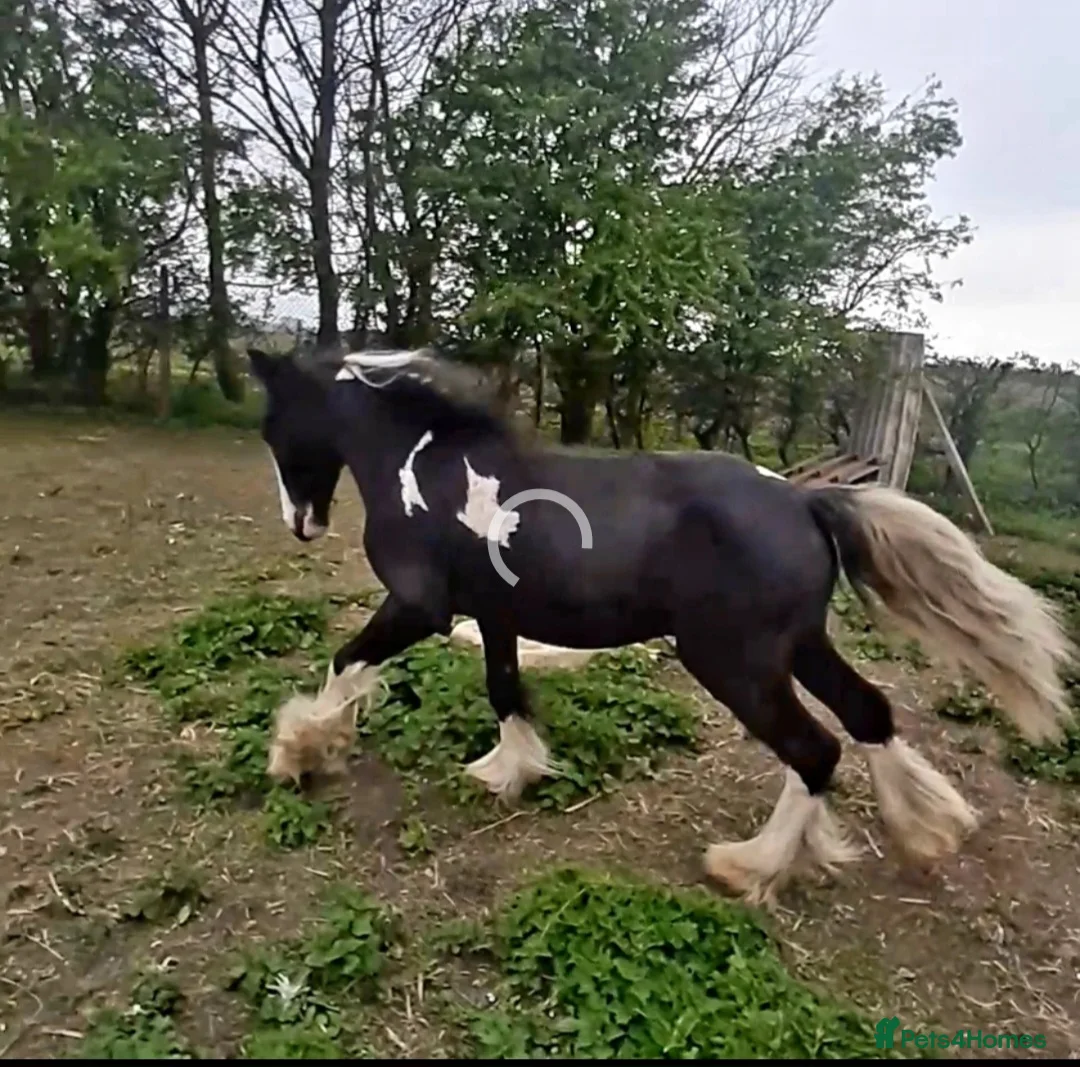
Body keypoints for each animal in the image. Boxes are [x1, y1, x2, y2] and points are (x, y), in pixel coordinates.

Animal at [247, 345, 1075, 906]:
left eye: (271, 422)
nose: (300, 524)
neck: (426, 469)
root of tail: (805, 501)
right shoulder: (496, 614)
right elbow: (505, 689)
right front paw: (507, 772)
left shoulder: (419, 607)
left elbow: (345, 662)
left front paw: (295, 754)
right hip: (800, 645)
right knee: (867, 712)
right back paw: (925, 830)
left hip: (733, 659)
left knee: (815, 748)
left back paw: (748, 865)